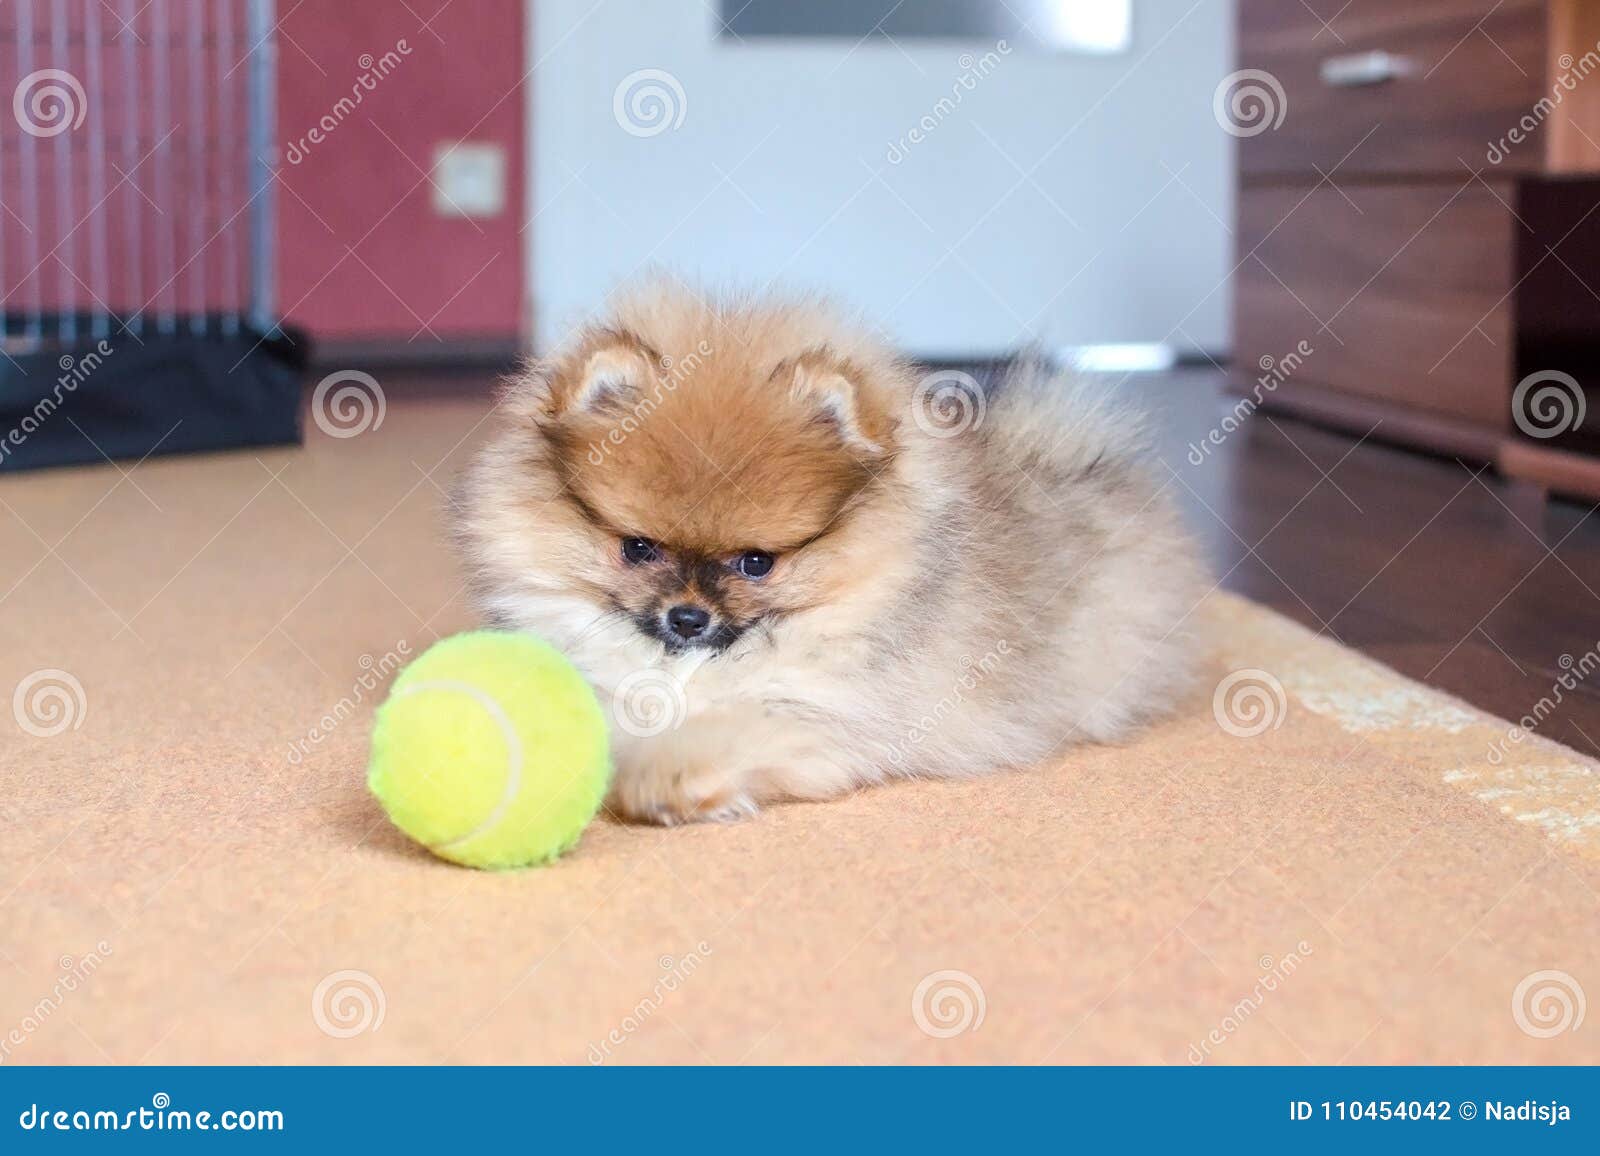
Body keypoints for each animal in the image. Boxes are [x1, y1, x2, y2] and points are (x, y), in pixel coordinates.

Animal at [457, 278, 1203, 819]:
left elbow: (728, 730)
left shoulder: (824, 717)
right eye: (638, 548)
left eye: (757, 562)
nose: (688, 617)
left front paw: (664, 782)